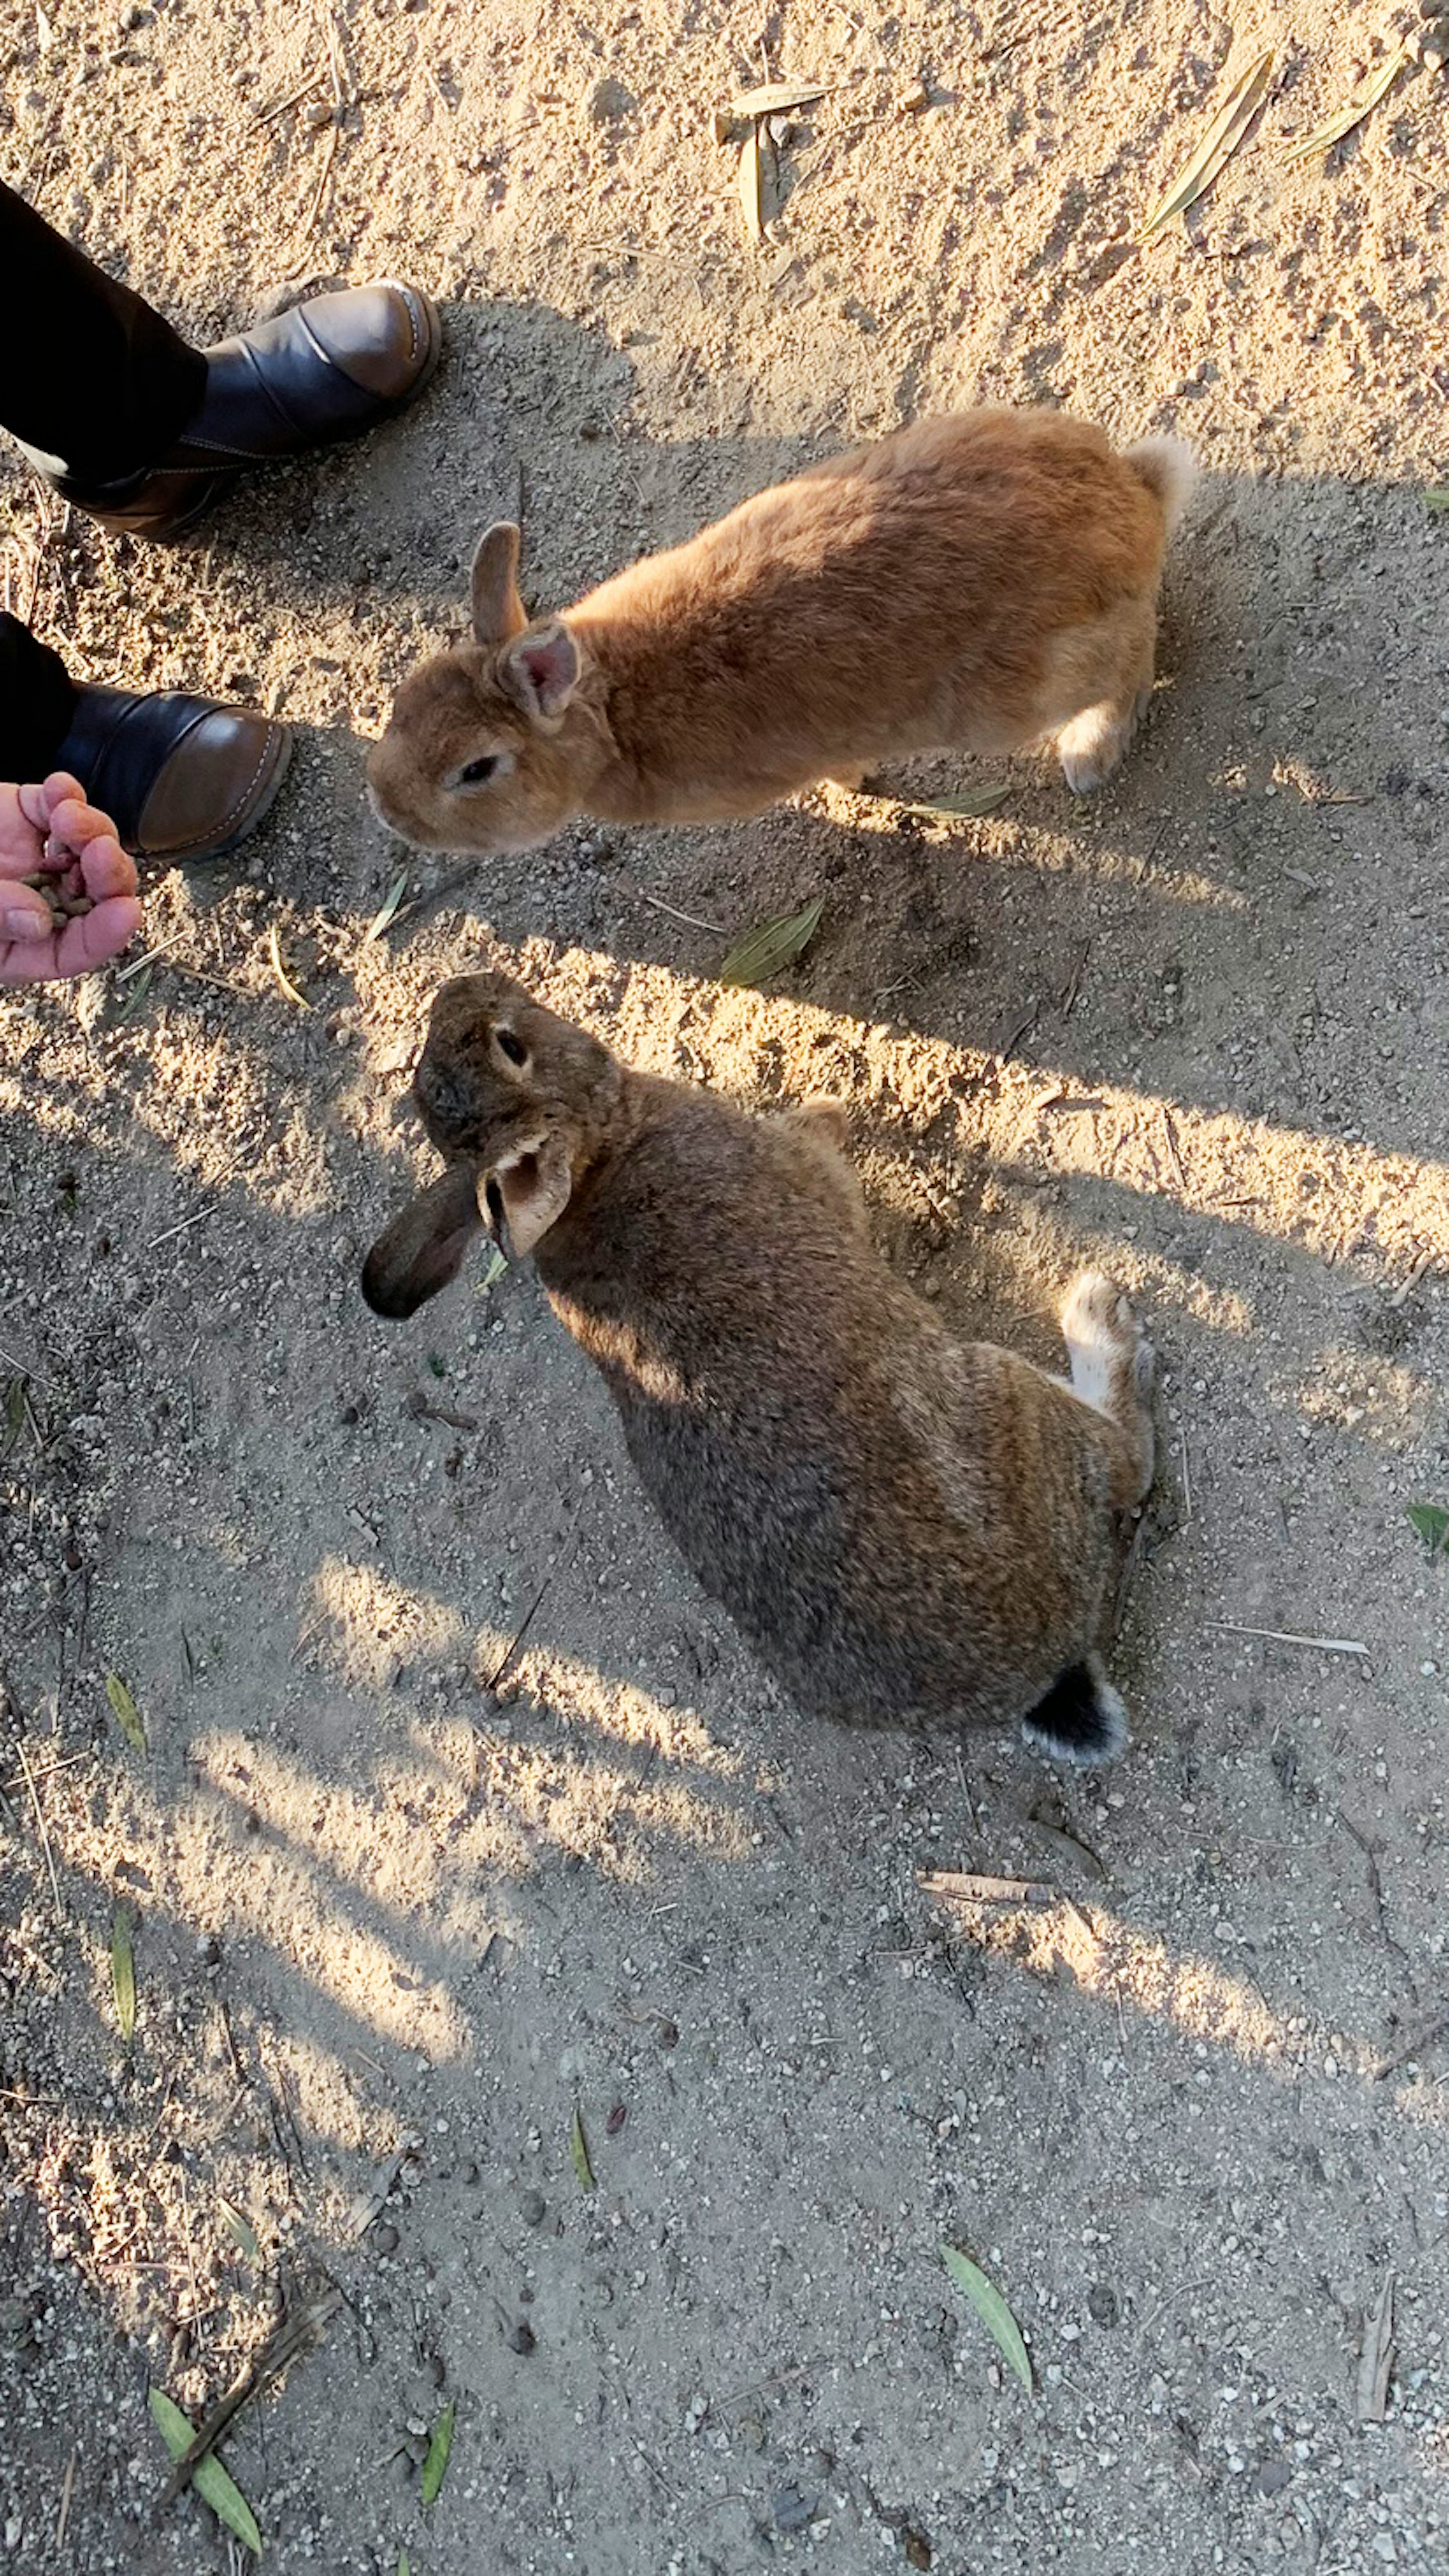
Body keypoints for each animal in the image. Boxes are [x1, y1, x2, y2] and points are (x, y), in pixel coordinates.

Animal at [363, 397, 1196, 850]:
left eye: (476, 770)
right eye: (402, 704)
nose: (386, 811)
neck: (611, 710)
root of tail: (1136, 500)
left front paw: (856, 784)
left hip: (1022, 692)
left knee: (1133, 665)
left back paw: (1089, 756)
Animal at [363, 973, 1160, 1762]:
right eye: (513, 1046)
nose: (463, 985)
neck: (597, 1156)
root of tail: (1040, 1672)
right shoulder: (802, 1168)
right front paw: (833, 1105)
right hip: (1008, 1397)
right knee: (1128, 1462)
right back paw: (1098, 1315)